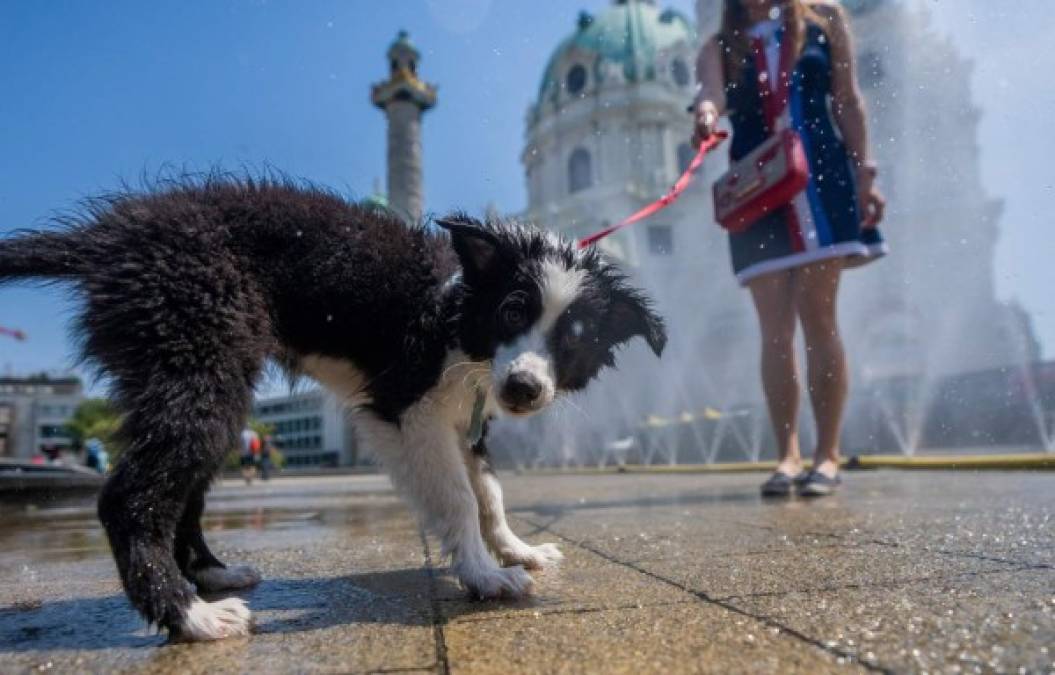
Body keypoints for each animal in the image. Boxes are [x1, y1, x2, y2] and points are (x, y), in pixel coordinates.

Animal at [0, 177, 662, 641]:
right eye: (513, 310)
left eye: (575, 340)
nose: (525, 389)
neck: (456, 311)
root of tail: (111, 236)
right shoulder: (408, 408)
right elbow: (457, 498)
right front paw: (484, 576)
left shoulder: (468, 411)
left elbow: (490, 493)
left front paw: (516, 550)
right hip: (196, 352)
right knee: (131, 496)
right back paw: (190, 617)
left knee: (182, 487)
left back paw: (212, 576)